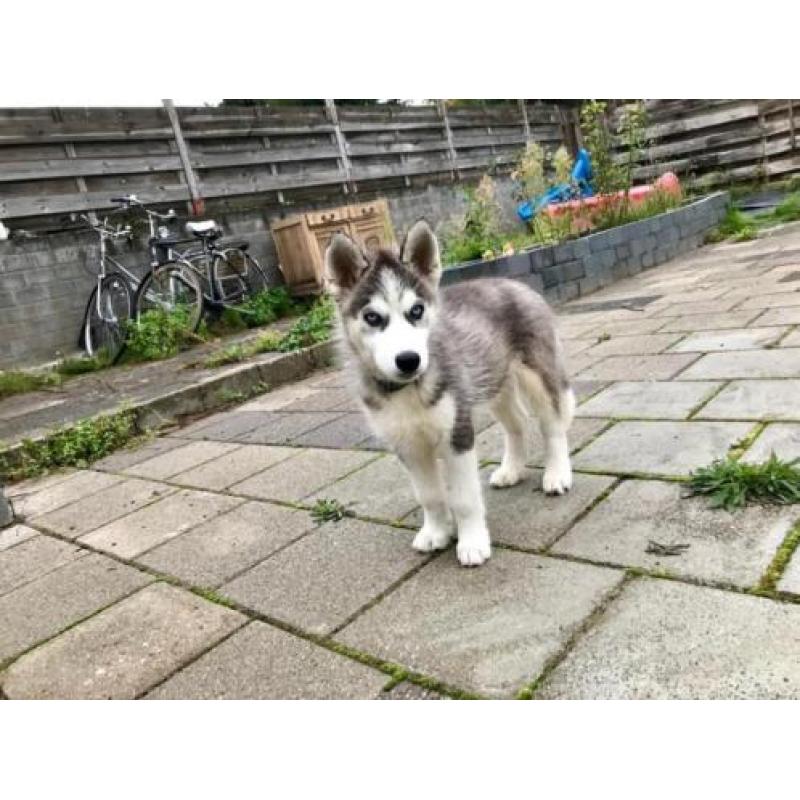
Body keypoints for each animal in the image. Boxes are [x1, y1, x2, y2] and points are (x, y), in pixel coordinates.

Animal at [324, 222, 576, 564]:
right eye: (372, 317)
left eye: (416, 310)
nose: (409, 360)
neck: (409, 391)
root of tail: (515, 283)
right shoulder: (408, 445)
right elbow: (429, 495)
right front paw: (435, 532)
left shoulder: (458, 434)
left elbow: (464, 498)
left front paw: (472, 543)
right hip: (494, 383)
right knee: (517, 424)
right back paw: (511, 470)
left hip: (537, 375)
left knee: (552, 425)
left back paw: (557, 474)